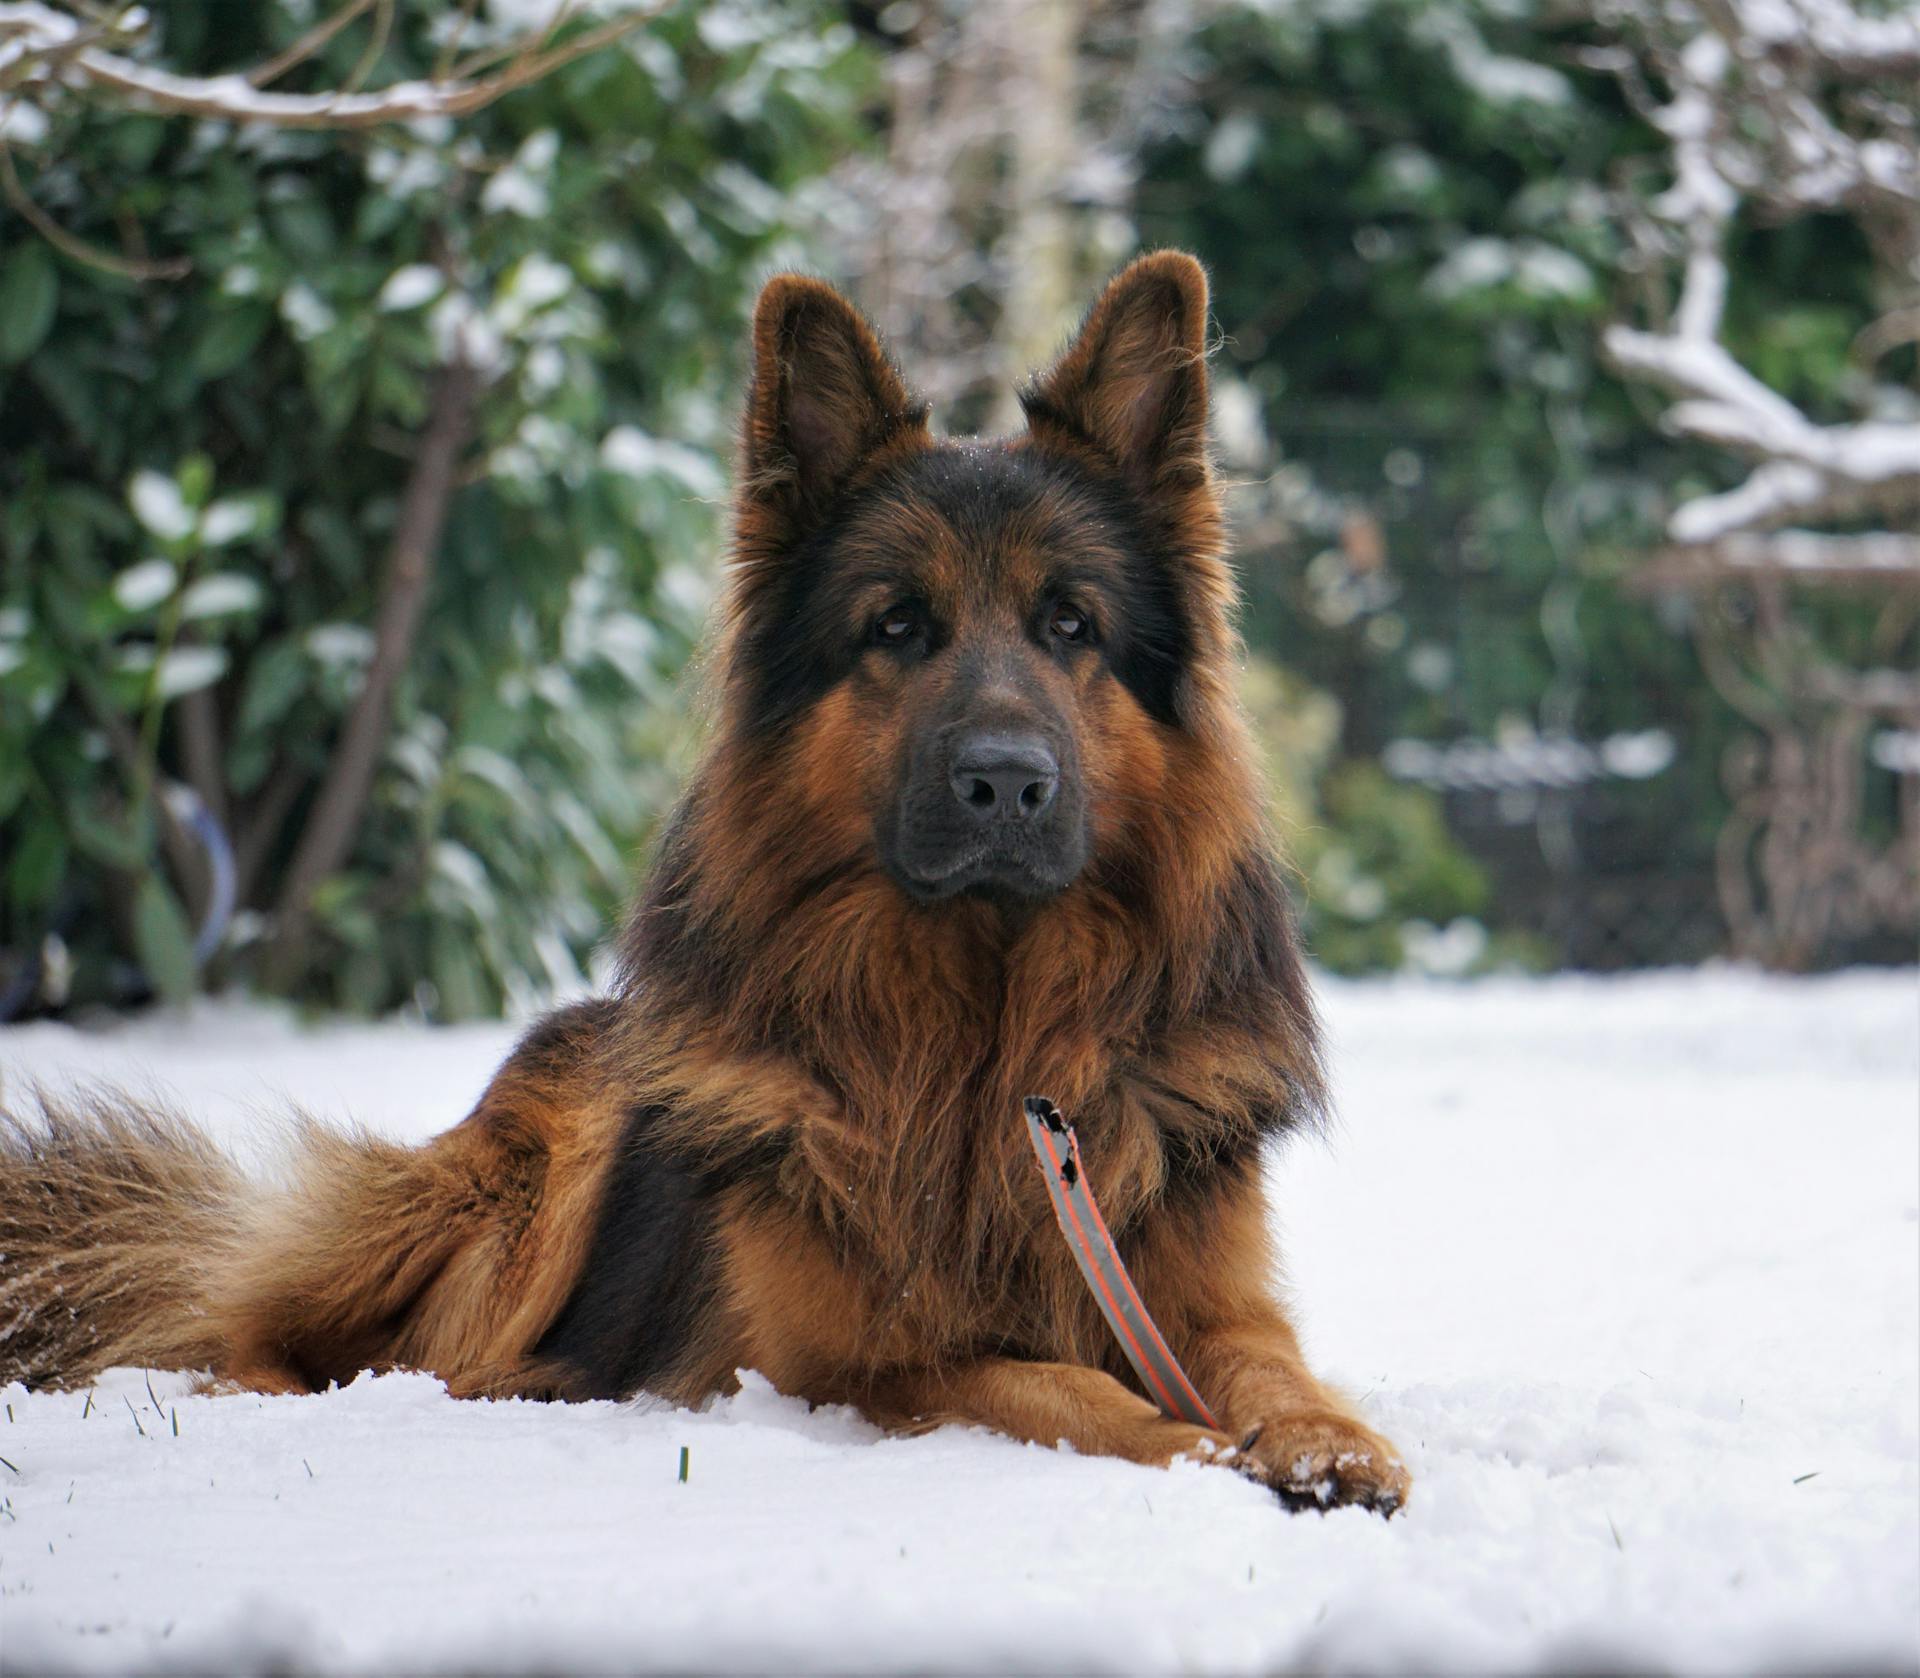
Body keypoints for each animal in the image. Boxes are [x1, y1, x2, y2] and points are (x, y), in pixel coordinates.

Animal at [0, 251, 1413, 1520]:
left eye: (1073, 625)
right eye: (898, 626)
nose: (1006, 783)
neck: (988, 1023)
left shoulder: (1200, 1292)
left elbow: (1268, 1365)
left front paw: (1323, 1441)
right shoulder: (853, 1362)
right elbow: (1053, 1384)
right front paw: (1199, 1454)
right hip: (524, 1186)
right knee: (275, 1329)